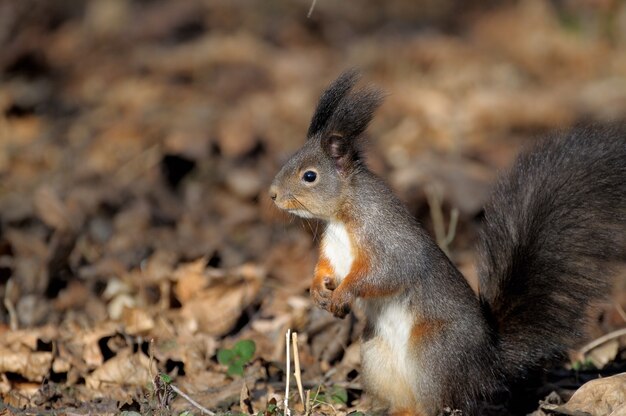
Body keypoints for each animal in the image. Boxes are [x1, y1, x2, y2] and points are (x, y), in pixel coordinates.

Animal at [268, 70, 624, 414]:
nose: (272, 195)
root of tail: (488, 364)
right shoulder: (333, 249)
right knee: (409, 401)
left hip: (433, 352)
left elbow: (383, 274)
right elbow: (327, 267)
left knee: (437, 402)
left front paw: (344, 293)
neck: (342, 218)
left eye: (309, 176)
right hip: (375, 353)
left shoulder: (388, 241)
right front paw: (317, 290)